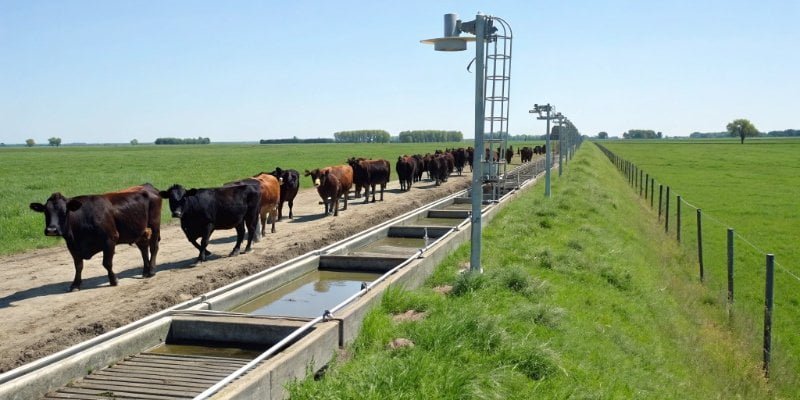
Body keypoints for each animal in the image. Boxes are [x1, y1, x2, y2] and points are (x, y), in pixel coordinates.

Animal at [29, 184, 162, 292]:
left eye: (64, 211)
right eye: (46, 212)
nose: (52, 230)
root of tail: (148, 186)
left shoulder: (110, 239)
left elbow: (107, 263)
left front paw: (113, 280)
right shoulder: (72, 246)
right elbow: (78, 266)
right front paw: (75, 284)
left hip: (155, 225)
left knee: (153, 247)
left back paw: (151, 270)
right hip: (139, 231)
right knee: (143, 249)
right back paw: (145, 270)